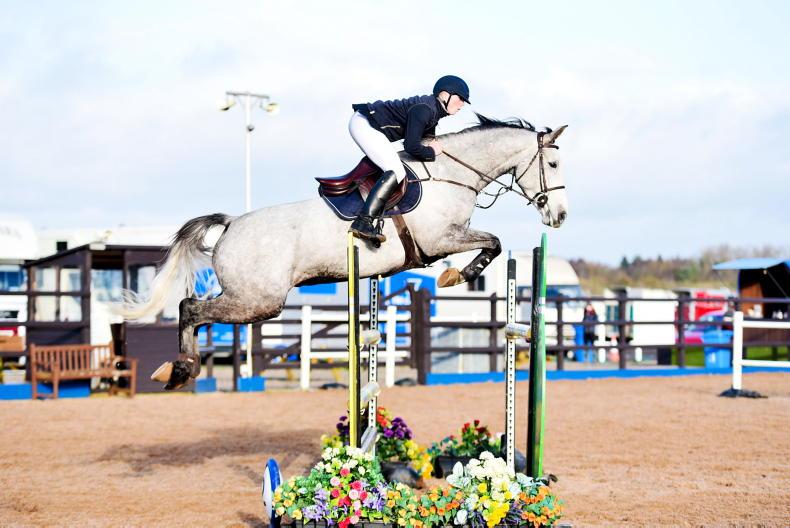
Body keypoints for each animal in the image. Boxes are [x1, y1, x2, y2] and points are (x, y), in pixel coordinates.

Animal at [119, 115, 569, 390]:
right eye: (554, 165)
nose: (560, 215)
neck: (451, 173)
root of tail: (231, 225)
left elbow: (492, 243)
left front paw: (457, 274)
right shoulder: (441, 240)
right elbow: (492, 242)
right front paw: (457, 275)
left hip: (249, 298)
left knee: (194, 311)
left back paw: (180, 370)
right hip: (258, 301)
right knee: (191, 308)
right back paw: (180, 370)